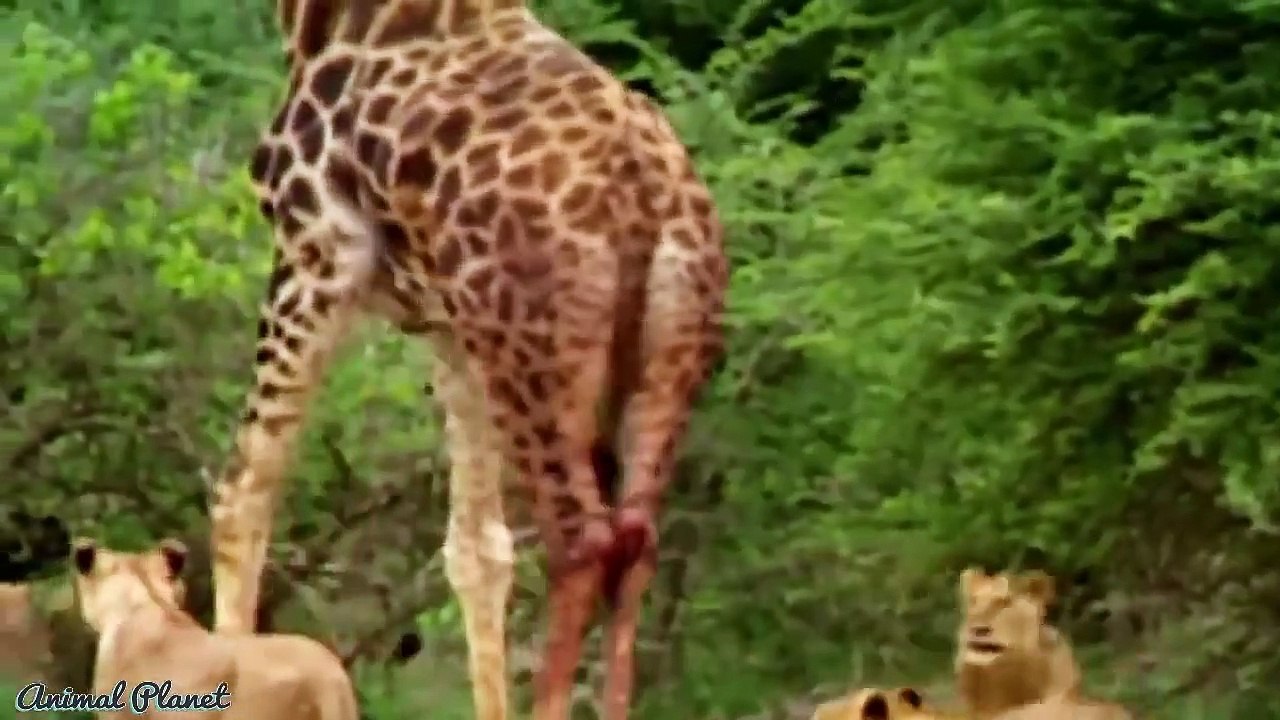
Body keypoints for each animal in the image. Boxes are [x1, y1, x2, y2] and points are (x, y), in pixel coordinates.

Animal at [207, 1, 727, 719]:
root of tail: (646, 196)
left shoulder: (315, 253)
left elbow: (244, 494)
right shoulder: (449, 331)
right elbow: (478, 551)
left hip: (532, 357)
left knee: (581, 545)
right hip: (657, 359)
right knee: (636, 541)